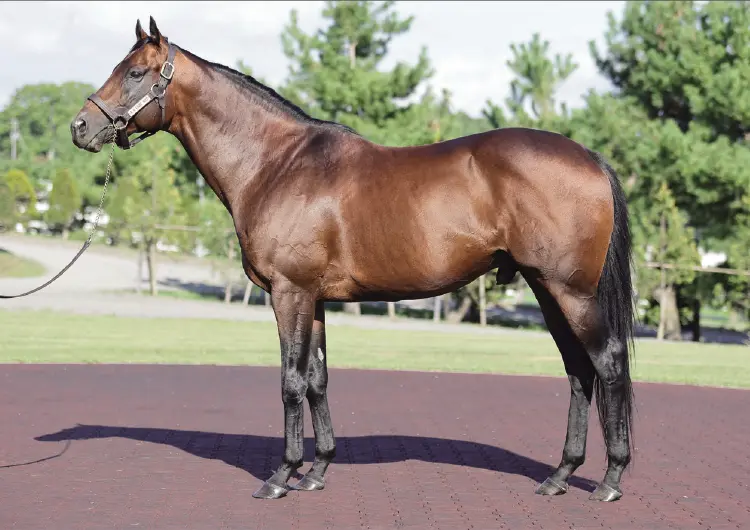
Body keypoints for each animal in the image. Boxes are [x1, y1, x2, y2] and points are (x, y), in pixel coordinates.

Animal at [71, 17, 635, 502]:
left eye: (135, 72)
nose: (80, 127)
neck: (276, 164)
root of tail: (591, 158)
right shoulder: (314, 299)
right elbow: (318, 379)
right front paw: (317, 470)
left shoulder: (289, 293)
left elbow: (291, 381)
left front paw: (281, 476)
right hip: (546, 289)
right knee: (578, 371)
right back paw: (559, 475)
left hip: (570, 292)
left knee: (606, 364)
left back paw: (610, 479)